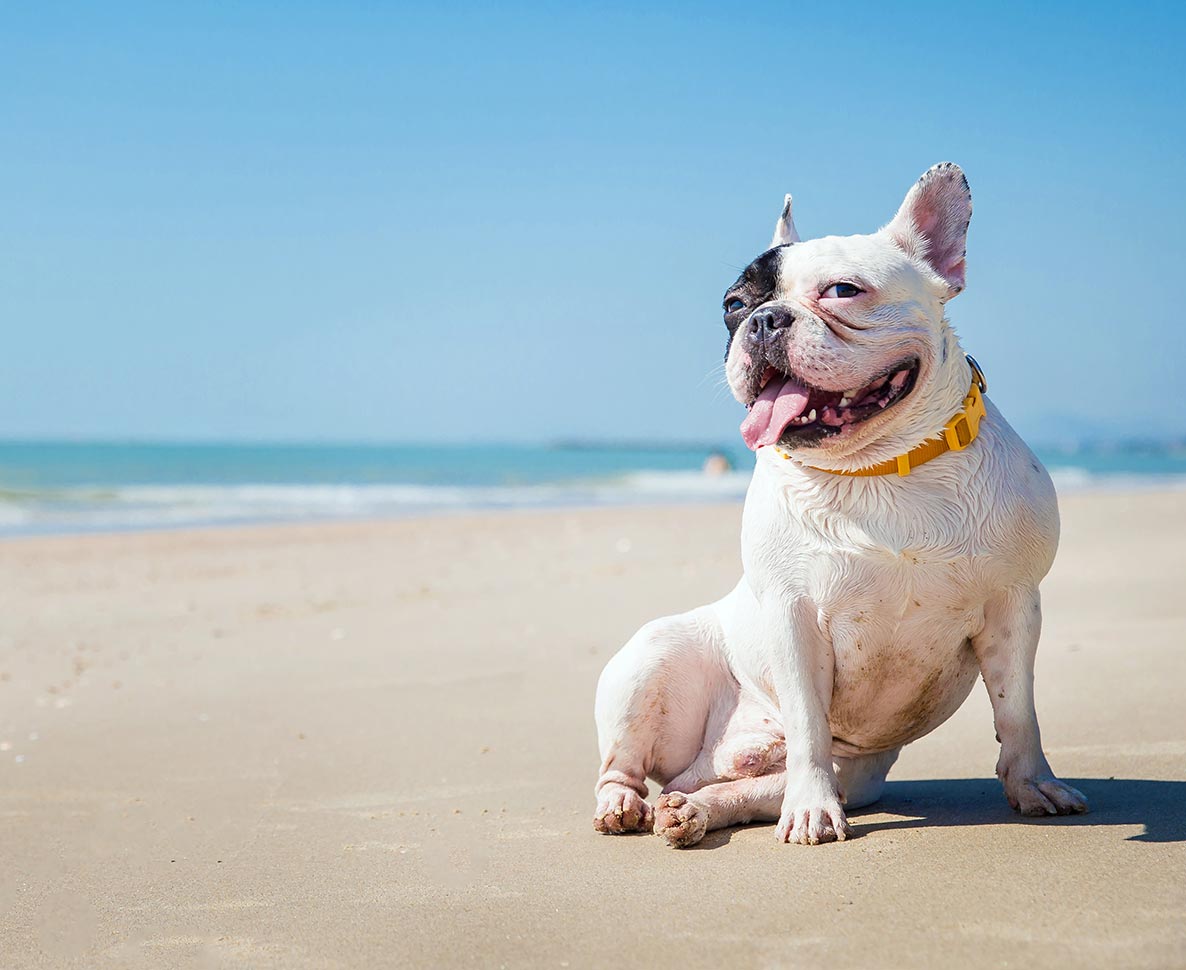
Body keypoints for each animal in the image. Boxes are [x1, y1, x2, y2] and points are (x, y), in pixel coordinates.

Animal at [593, 162, 1091, 844]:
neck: (877, 468)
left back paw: (693, 809)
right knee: (624, 764)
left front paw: (1034, 784)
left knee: (739, 789)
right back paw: (624, 805)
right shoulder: (792, 614)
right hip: (651, 659)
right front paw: (810, 813)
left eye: (843, 291)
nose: (765, 320)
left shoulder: (1013, 604)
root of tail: (712, 761)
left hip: (853, 772)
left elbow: (1018, 710)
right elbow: (807, 721)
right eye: (733, 305)